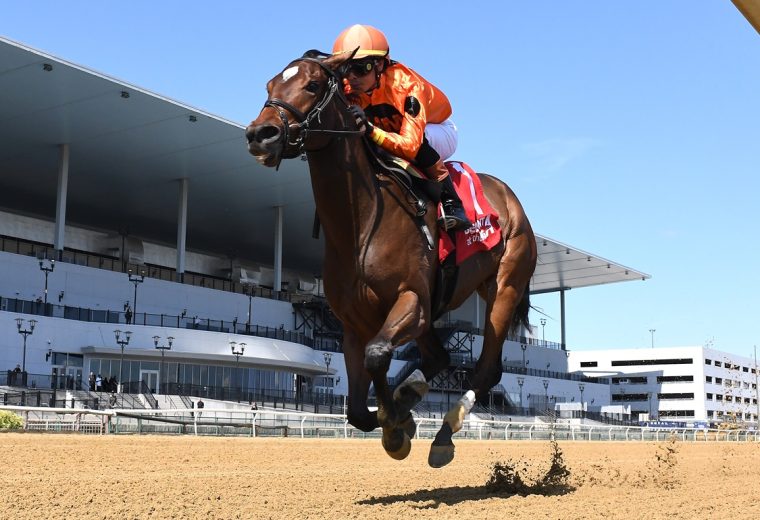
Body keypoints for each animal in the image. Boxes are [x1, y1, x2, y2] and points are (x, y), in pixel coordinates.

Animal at [246, 52, 536, 468]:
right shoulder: (355, 322)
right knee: (440, 359)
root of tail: (510, 198)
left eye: (313, 85)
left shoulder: (410, 299)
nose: (260, 134)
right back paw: (409, 395)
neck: (361, 223)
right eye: (270, 85)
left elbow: (378, 354)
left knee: (485, 370)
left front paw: (397, 427)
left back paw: (443, 435)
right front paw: (397, 417)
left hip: (504, 287)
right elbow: (356, 405)